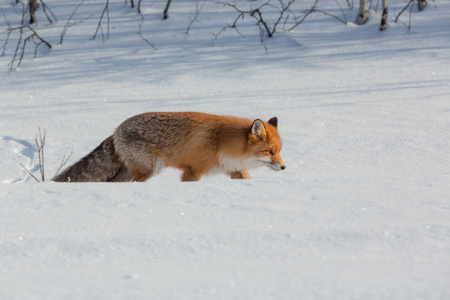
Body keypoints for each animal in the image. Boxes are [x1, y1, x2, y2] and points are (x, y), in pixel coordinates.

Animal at [51, 112, 284, 183]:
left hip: (131, 172)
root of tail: (116, 130)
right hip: (149, 169)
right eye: (269, 152)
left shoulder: (234, 169)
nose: (284, 167)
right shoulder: (192, 170)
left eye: (279, 151)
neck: (223, 143)